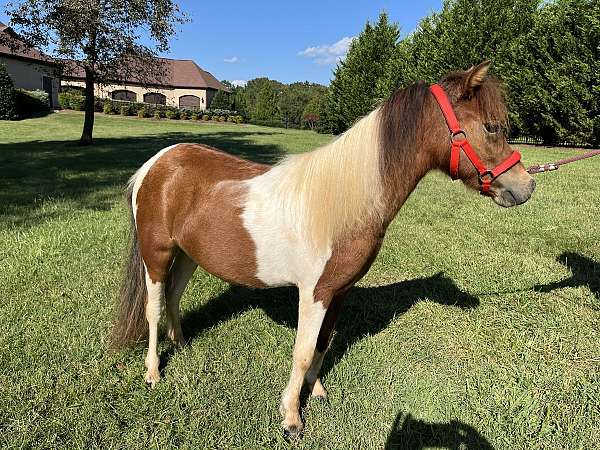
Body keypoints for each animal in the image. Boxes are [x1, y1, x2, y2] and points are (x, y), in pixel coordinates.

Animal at [112, 61, 536, 434]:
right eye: (492, 127)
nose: (526, 186)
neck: (344, 203)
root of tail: (156, 163)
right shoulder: (313, 293)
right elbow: (302, 352)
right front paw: (291, 416)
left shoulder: (338, 291)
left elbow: (321, 345)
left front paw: (315, 392)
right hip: (156, 254)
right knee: (153, 307)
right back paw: (153, 372)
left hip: (188, 255)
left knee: (174, 297)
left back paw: (182, 345)